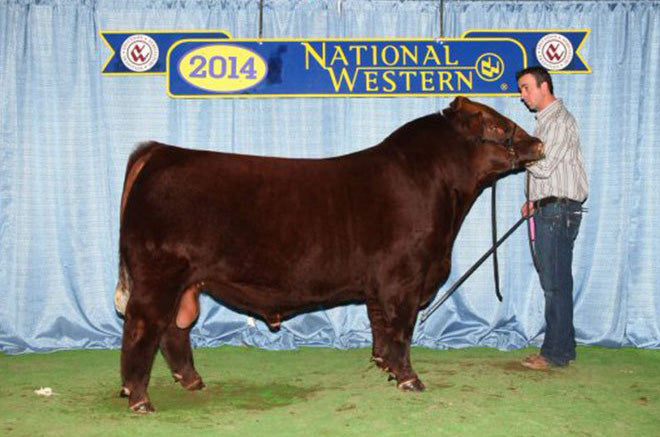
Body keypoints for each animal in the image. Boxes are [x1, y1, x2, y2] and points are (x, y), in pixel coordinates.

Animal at [114, 96, 543, 413]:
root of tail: (161, 152)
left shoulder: (379, 285)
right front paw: (409, 379)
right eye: (497, 126)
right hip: (159, 275)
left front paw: (384, 366)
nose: (538, 144)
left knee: (174, 329)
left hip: (185, 282)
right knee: (143, 326)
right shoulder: (404, 279)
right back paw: (139, 398)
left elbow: (380, 326)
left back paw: (191, 381)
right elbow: (401, 329)